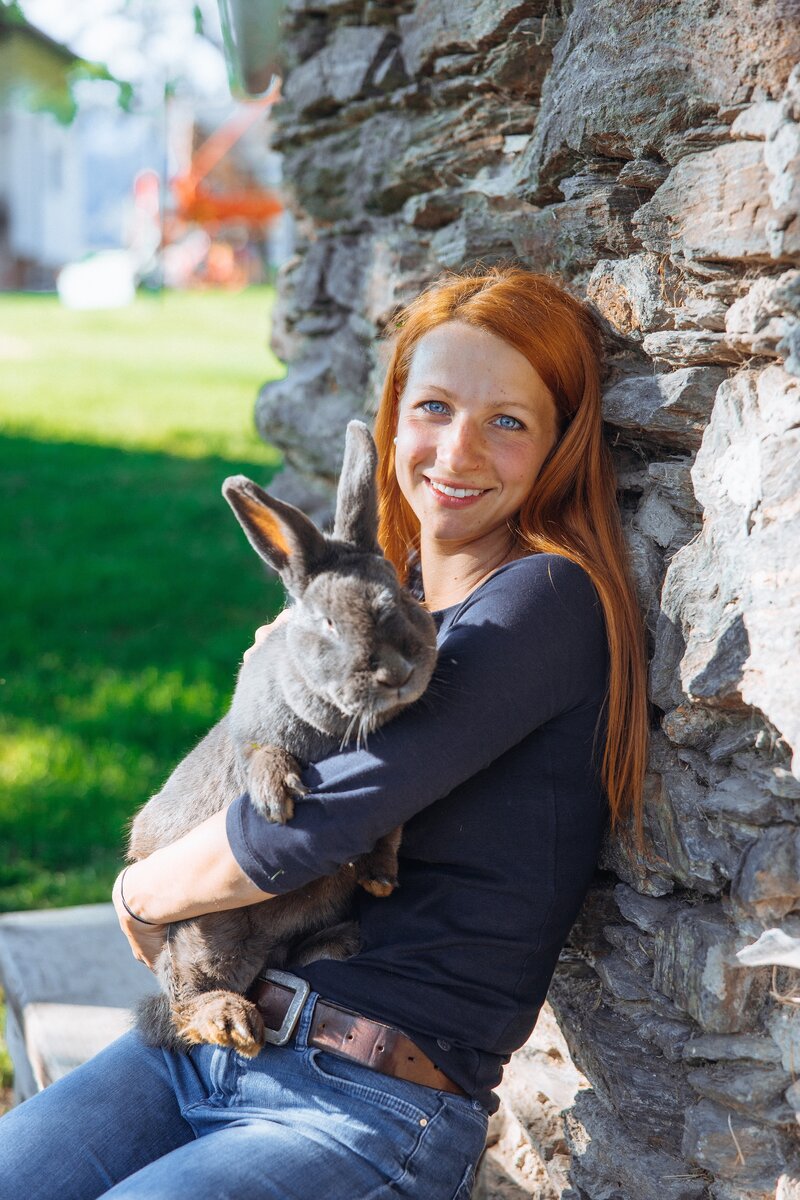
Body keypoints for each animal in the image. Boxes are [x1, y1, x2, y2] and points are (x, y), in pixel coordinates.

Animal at [128, 422, 438, 1060]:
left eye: (403, 595)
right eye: (328, 623)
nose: (398, 672)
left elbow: (390, 828)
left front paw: (380, 877)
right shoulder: (253, 737)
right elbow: (260, 755)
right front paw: (277, 801)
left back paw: (339, 942)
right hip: (205, 936)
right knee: (183, 1005)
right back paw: (234, 1024)